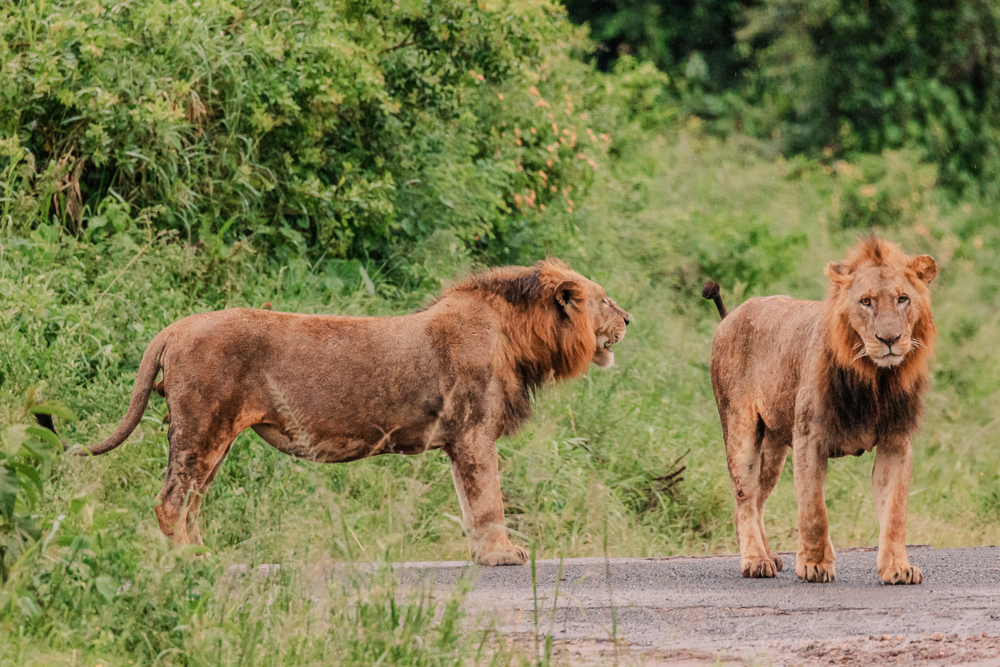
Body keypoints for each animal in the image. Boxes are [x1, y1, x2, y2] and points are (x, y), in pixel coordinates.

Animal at [79, 258, 630, 566]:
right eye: (604, 300)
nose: (628, 318)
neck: (517, 338)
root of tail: (175, 327)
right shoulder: (474, 433)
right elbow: (489, 500)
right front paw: (502, 556)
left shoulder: (459, 442)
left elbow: (469, 504)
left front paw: (480, 554)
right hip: (202, 430)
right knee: (172, 501)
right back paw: (192, 562)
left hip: (213, 437)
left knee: (190, 501)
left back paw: (201, 554)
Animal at [703, 237, 936, 584]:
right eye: (866, 302)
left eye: (903, 299)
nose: (890, 339)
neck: (874, 379)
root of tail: (731, 316)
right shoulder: (809, 438)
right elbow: (814, 509)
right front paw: (815, 564)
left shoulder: (896, 439)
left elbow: (895, 511)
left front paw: (897, 567)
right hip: (740, 430)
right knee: (744, 497)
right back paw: (756, 560)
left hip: (773, 446)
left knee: (757, 498)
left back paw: (770, 555)